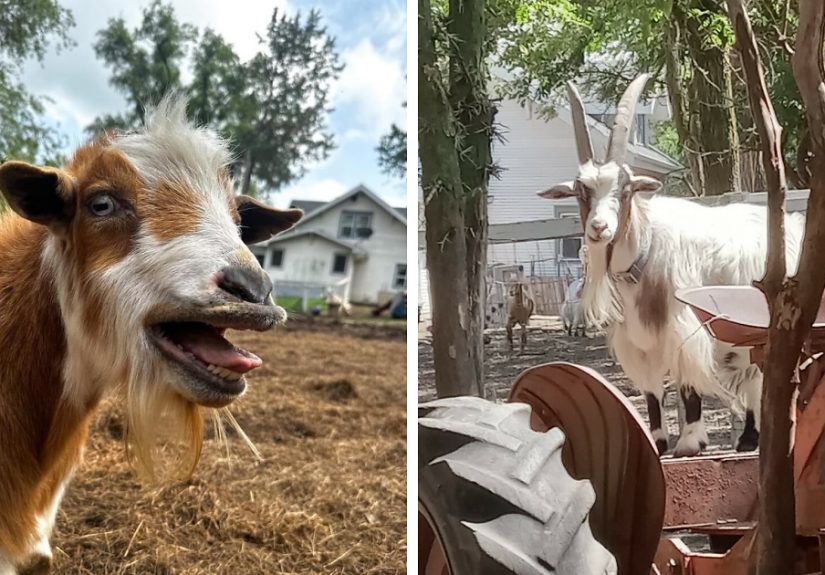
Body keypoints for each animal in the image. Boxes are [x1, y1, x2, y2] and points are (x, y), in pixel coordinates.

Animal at [539, 74, 804, 457]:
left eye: (625, 188)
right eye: (580, 189)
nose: (599, 227)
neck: (646, 255)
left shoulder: (685, 329)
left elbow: (688, 387)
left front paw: (691, 443)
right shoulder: (640, 344)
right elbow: (652, 392)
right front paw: (658, 442)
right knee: (758, 375)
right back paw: (749, 439)